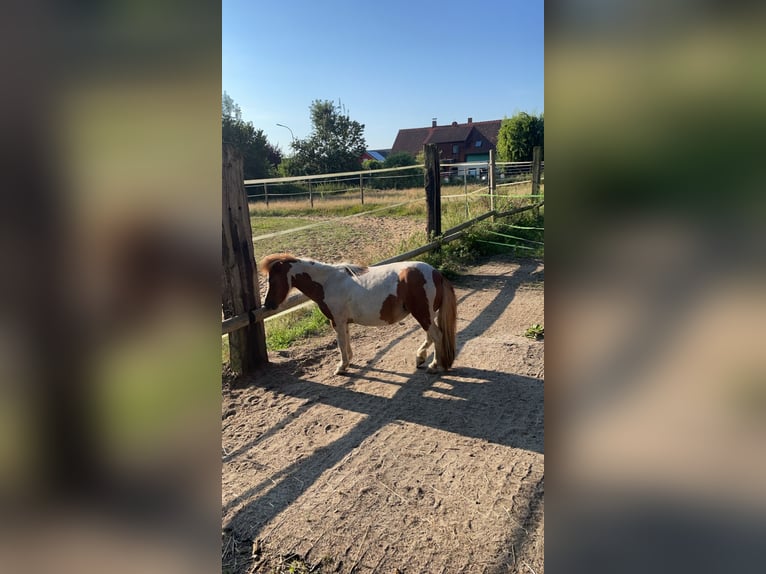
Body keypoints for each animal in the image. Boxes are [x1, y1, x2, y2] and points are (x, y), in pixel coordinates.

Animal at [260, 254, 460, 376]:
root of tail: (436, 274)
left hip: (422, 314)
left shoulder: (337, 321)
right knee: (431, 336)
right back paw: (420, 358)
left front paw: (341, 367)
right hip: (425, 314)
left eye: (272, 280)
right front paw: (349, 362)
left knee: (437, 335)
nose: (267, 305)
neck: (327, 282)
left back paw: (433, 366)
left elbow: (341, 344)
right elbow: (346, 342)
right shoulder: (343, 322)